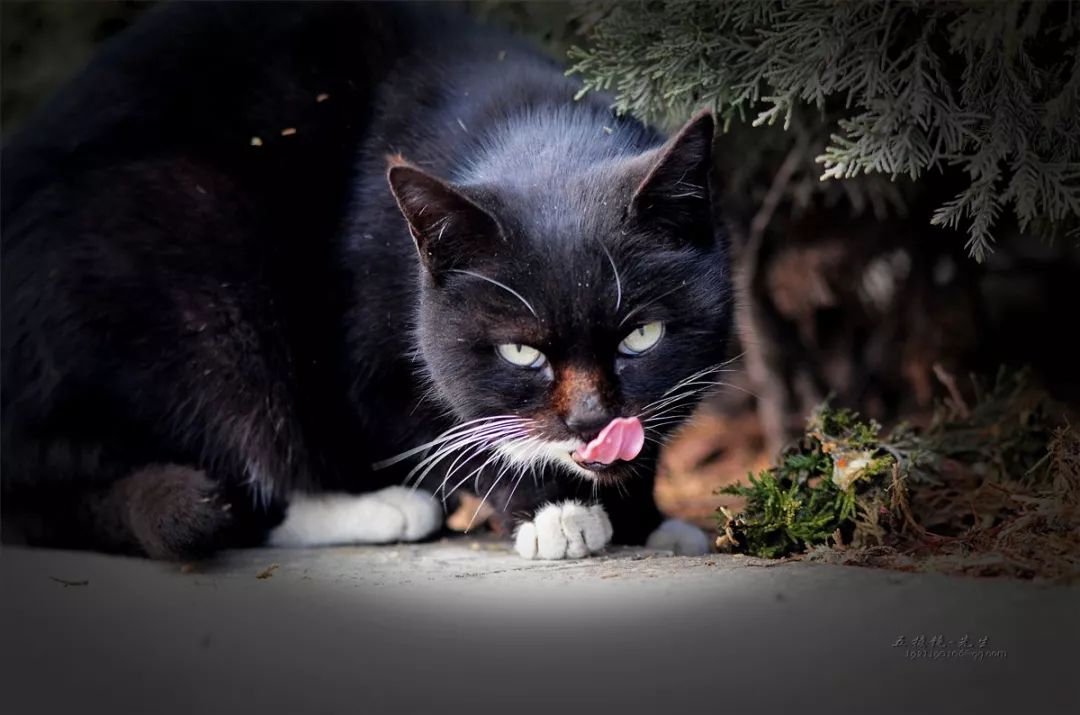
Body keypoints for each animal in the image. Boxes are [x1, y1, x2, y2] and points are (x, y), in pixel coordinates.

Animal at [0, 0, 734, 561]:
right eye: (520, 350)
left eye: (641, 336)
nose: (592, 422)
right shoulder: (367, 323)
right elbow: (430, 420)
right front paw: (556, 514)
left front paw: (645, 517)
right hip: (194, 254)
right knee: (245, 442)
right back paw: (380, 509)